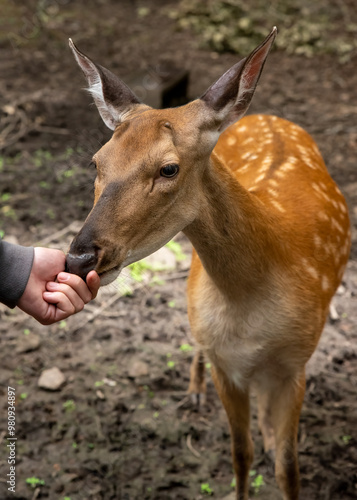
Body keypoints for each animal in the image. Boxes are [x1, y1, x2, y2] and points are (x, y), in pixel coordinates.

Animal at [66, 29, 350, 498]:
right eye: (96, 162)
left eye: (169, 169)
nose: (79, 256)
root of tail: (267, 116)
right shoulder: (224, 365)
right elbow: (239, 455)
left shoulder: (297, 363)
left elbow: (288, 467)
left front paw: (273, 445)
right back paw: (195, 391)